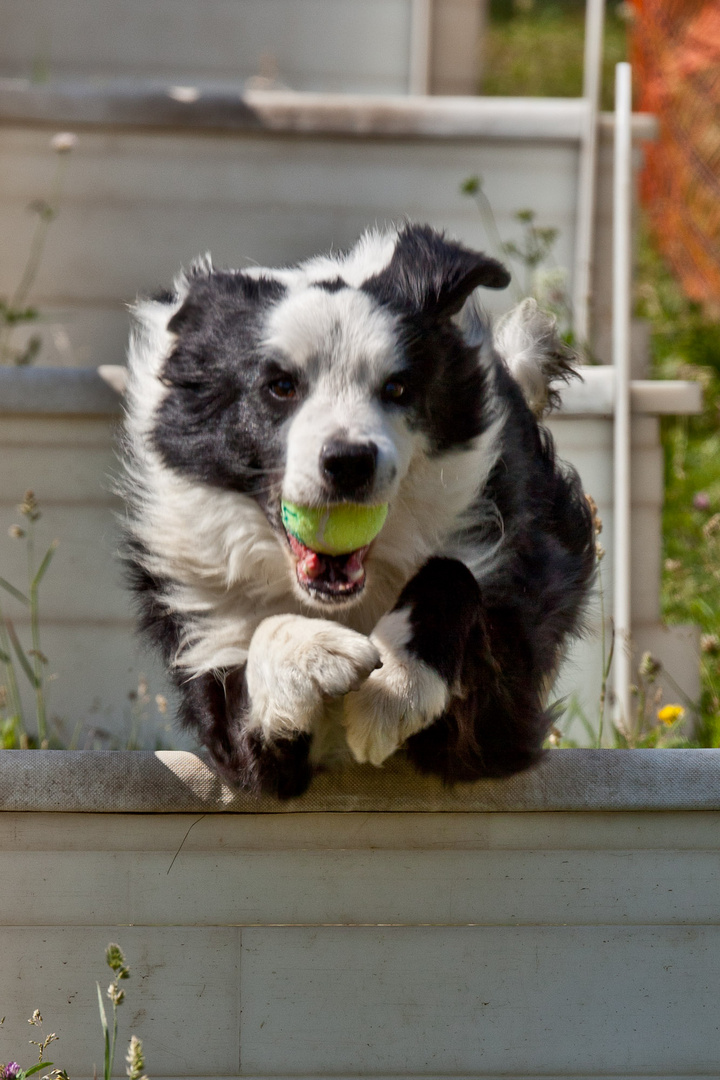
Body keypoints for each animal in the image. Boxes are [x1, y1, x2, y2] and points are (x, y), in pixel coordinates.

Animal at [122, 223, 595, 799]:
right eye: (281, 386)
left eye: (397, 387)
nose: (349, 462)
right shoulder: (228, 701)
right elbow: (260, 652)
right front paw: (319, 655)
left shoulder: (499, 723)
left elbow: (452, 574)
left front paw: (394, 685)